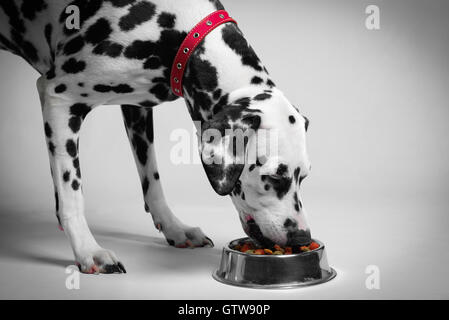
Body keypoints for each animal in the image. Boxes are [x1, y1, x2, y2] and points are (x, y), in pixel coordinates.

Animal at [0, 0, 312, 276]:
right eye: (273, 177)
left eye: (305, 177)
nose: (302, 238)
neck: (178, 30)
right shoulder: (59, 99)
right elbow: (71, 192)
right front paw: (88, 251)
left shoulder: (137, 107)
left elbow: (152, 180)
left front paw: (175, 228)